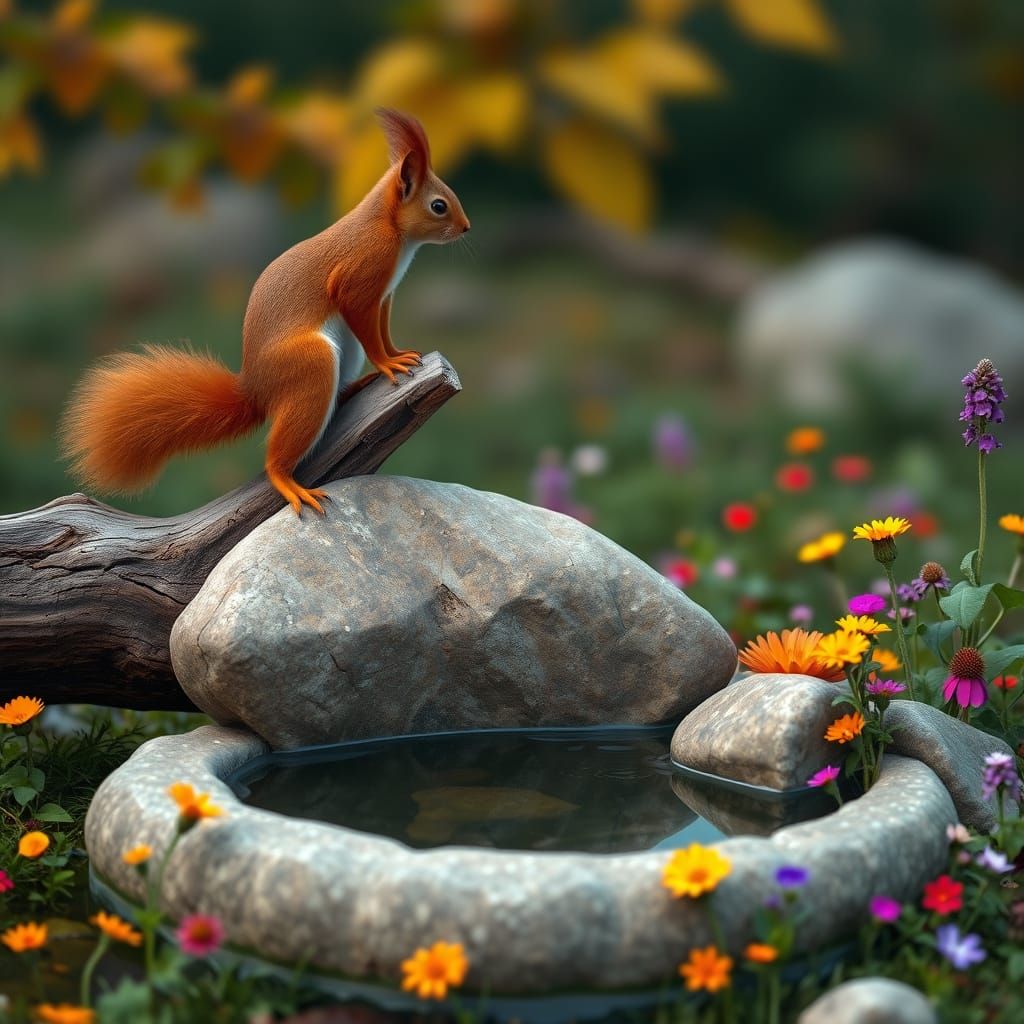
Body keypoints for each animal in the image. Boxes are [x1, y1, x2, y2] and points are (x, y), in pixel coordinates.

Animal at [60, 108, 470, 516]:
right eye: (438, 205)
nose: (466, 228)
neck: (388, 226)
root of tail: (257, 390)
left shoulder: (384, 297)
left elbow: (383, 332)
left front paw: (399, 354)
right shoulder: (360, 280)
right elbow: (368, 328)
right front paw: (387, 363)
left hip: (341, 356)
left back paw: (357, 385)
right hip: (310, 365)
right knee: (276, 457)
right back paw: (289, 482)